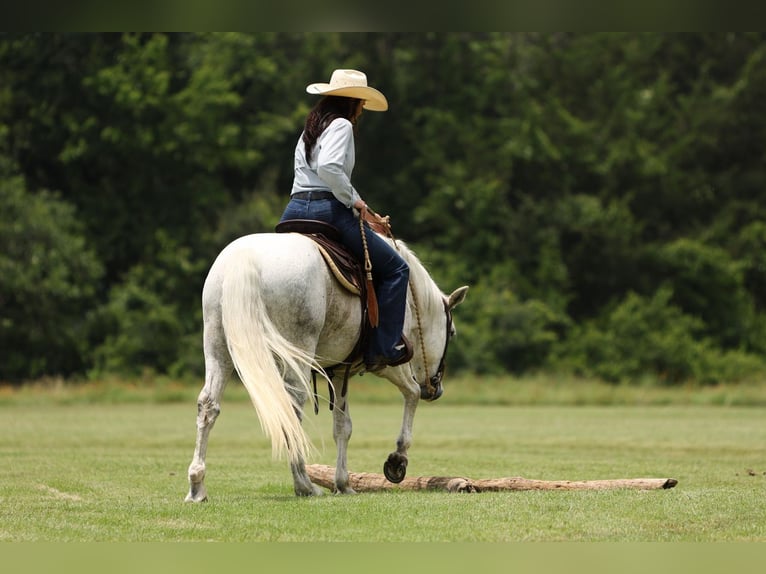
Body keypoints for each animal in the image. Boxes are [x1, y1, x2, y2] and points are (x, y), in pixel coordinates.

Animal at [185, 229, 468, 501]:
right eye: (452, 332)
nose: (436, 389)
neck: (410, 296)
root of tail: (243, 260)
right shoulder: (390, 362)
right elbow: (411, 393)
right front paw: (397, 460)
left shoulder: (340, 371)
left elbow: (343, 427)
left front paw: (343, 483)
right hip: (296, 355)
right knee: (292, 410)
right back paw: (304, 485)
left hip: (218, 348)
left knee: (209, 405)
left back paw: (197, 486)